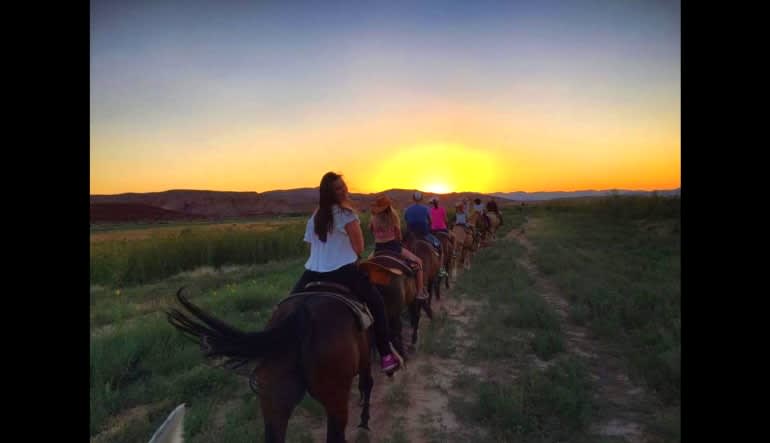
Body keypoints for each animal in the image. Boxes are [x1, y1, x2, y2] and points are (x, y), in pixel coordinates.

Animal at [166, 286, 374, 442]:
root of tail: (300, 313)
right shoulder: (365, 360)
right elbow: (367, 385)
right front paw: (364, 424)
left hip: (274, 401)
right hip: (335, 399)